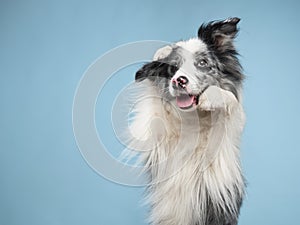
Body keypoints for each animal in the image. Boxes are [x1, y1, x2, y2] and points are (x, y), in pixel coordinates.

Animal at [125, 17, 245, 225]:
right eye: (173, 69)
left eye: (203, 62)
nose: (178, 81)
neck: (193, 117)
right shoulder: (153, 128)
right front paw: (163, 51)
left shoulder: (232, 125)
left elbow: (231, 102)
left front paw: (212, 97)